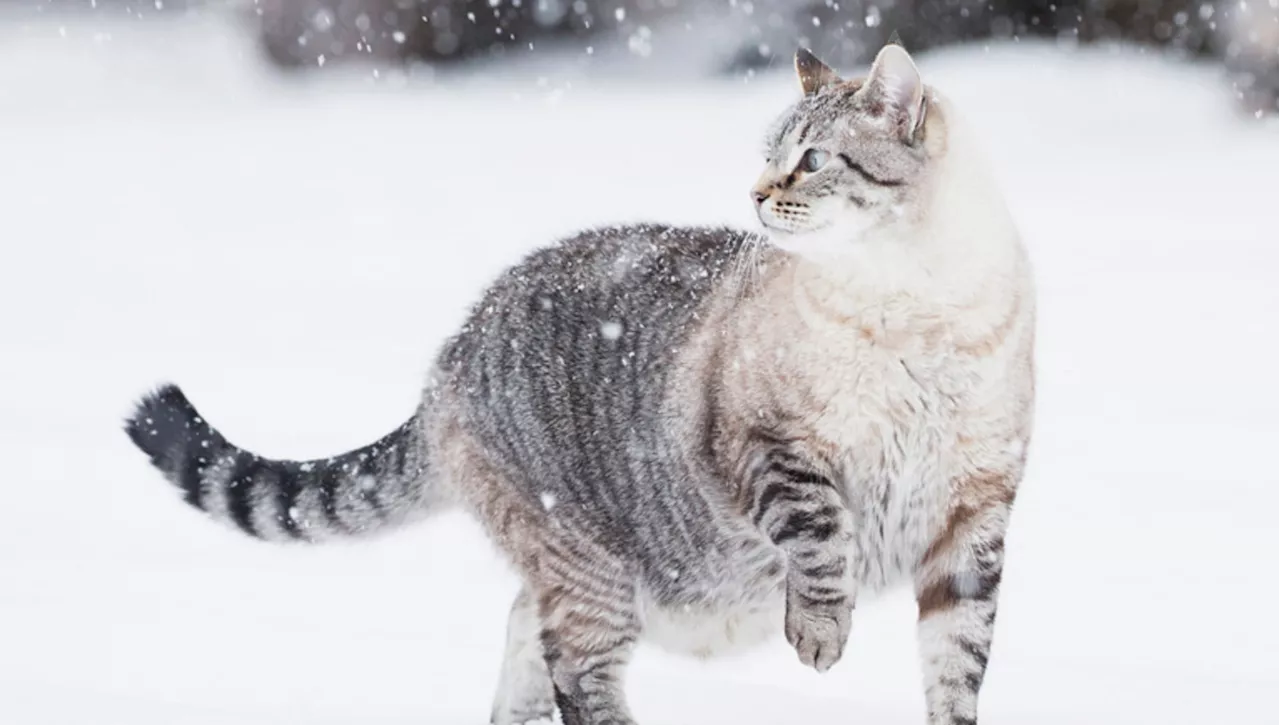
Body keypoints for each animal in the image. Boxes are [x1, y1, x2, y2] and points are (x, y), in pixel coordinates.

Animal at [124, 46, 1034, 725]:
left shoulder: (974, 519)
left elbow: (958, 668)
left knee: (524, 643)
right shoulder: (769, 448)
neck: (920, 310)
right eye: (768, 157)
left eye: (810, 162)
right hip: (591, 569)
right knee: (578, 669)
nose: (755, 195)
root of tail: (451, 353)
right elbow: (820, 539)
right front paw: (818, 633)